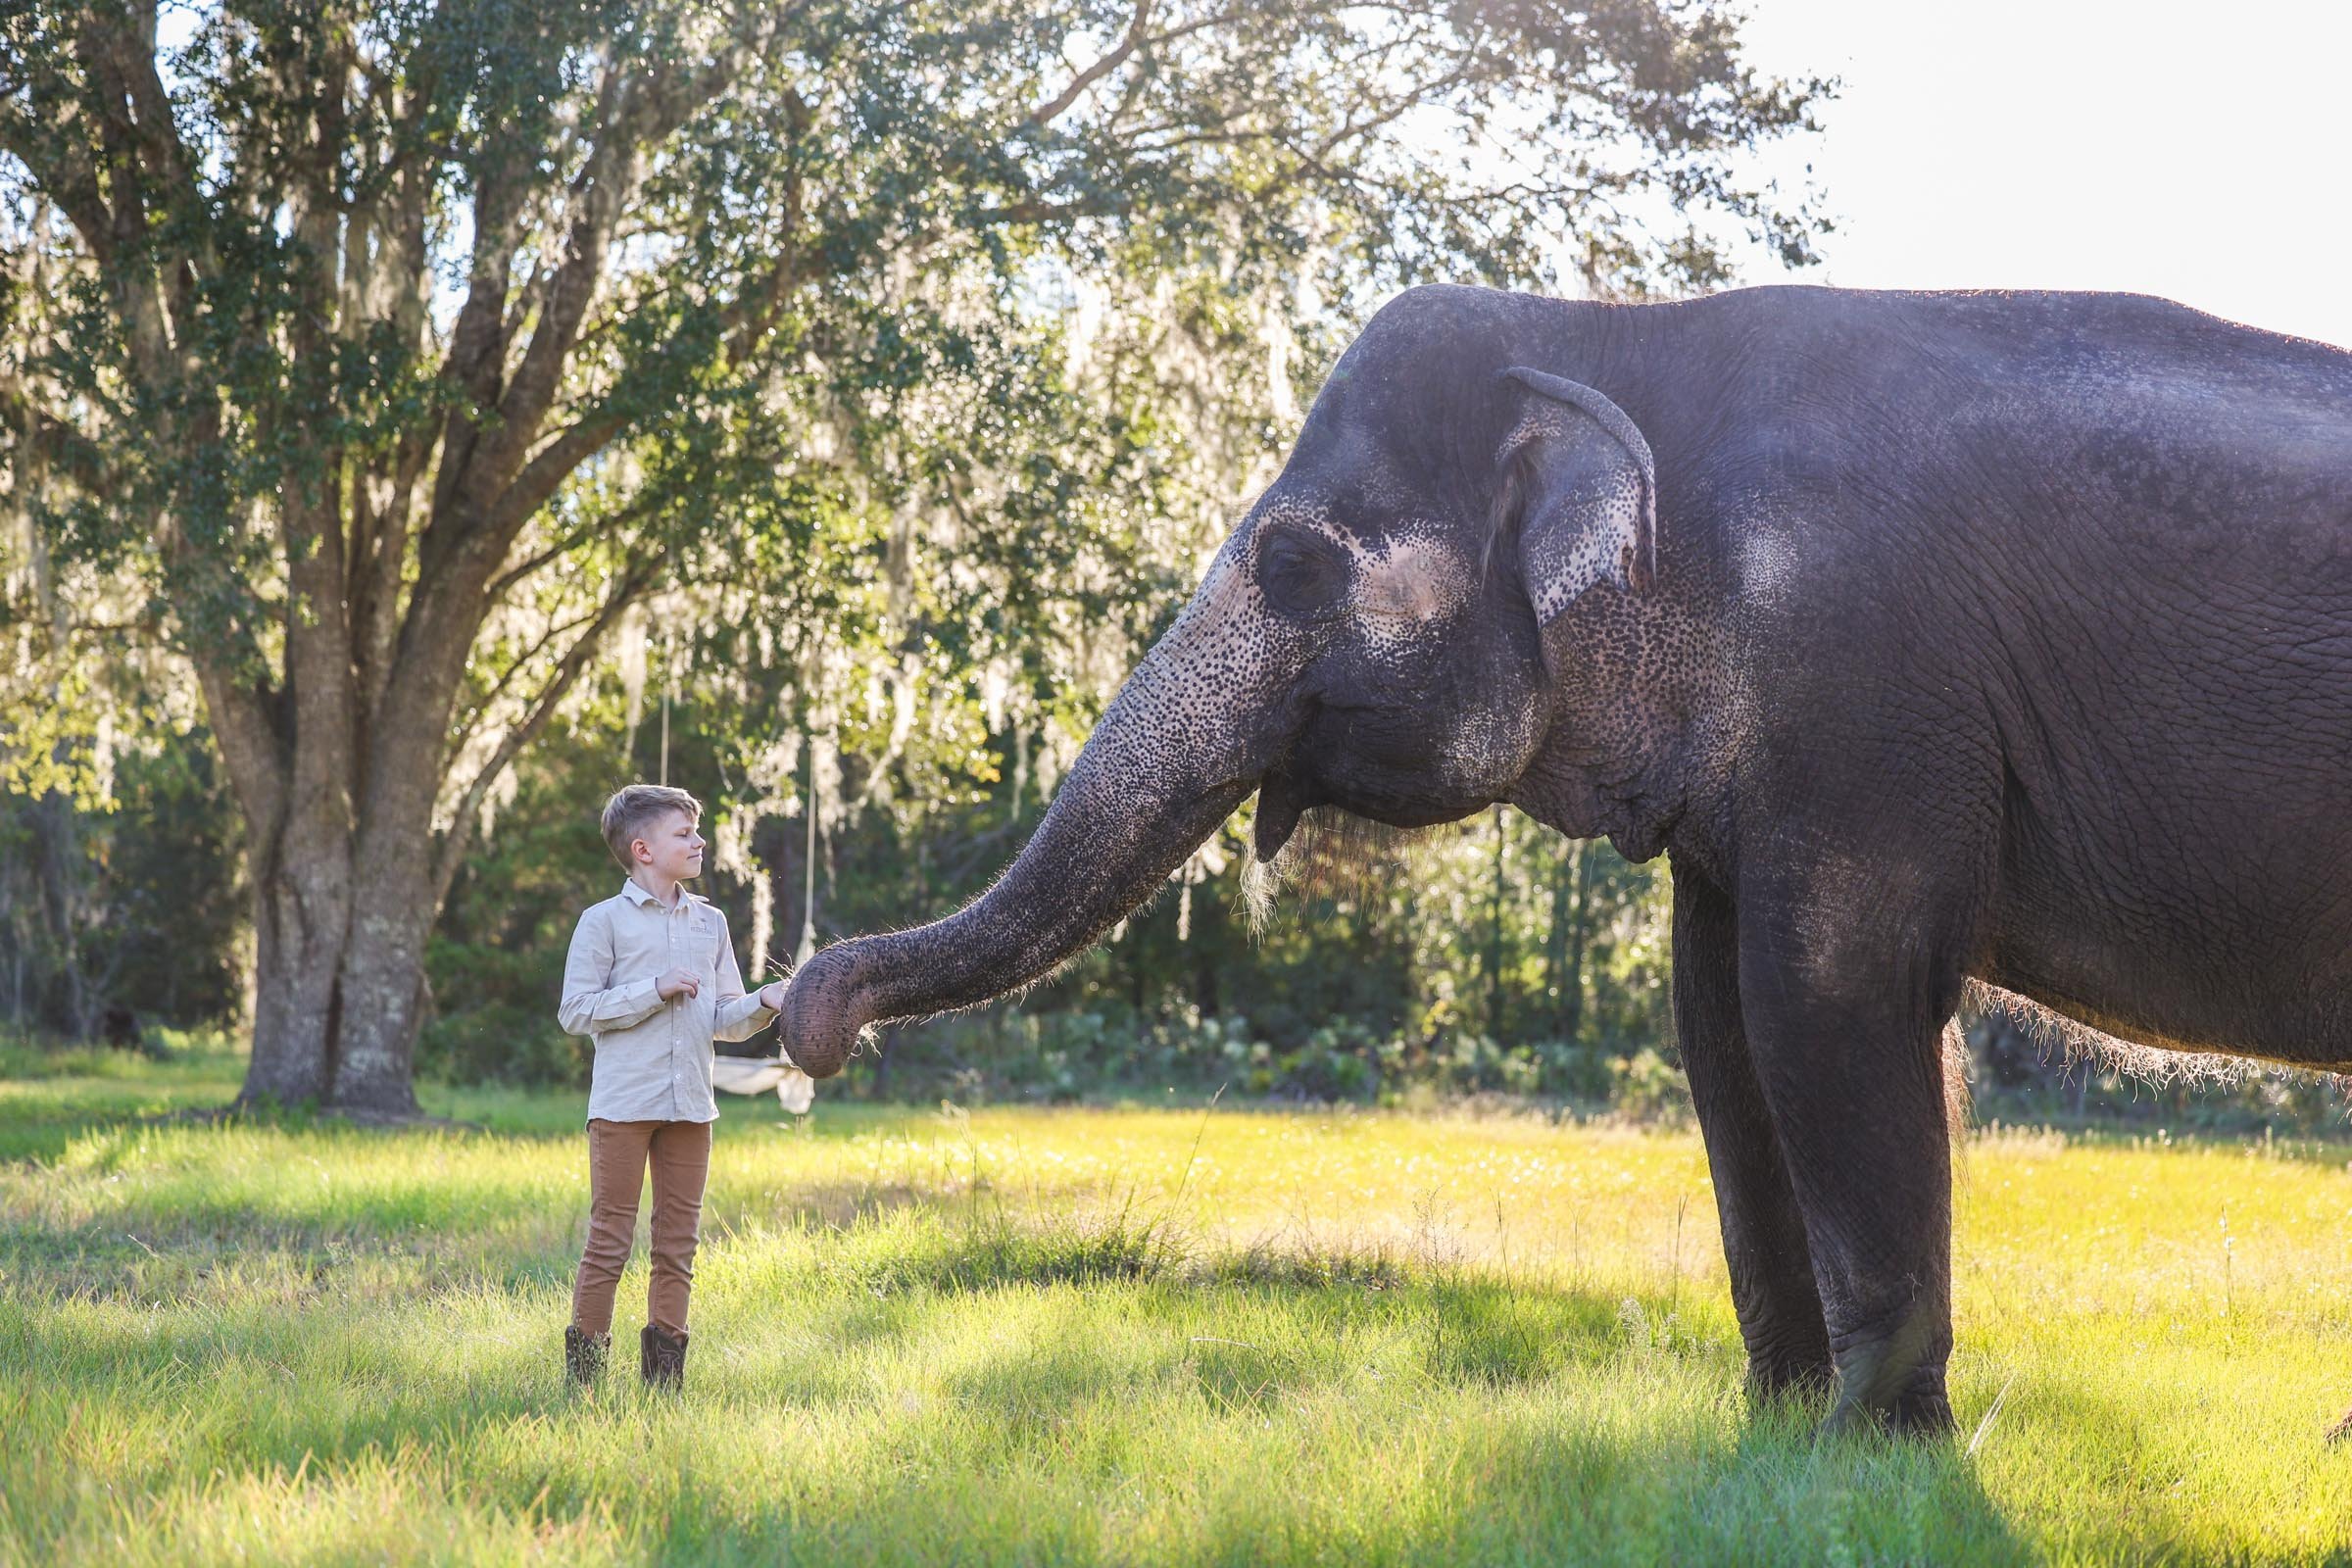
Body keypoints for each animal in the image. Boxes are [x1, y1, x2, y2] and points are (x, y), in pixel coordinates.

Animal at [780, 281, 2352, 1439]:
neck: (1614, 333)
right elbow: (1719, 1028)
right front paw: (1779, 1439)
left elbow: (1824, 999)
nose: (810, 1025)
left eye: (1290, 566)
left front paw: (1885, 1456)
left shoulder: (1864, 690)